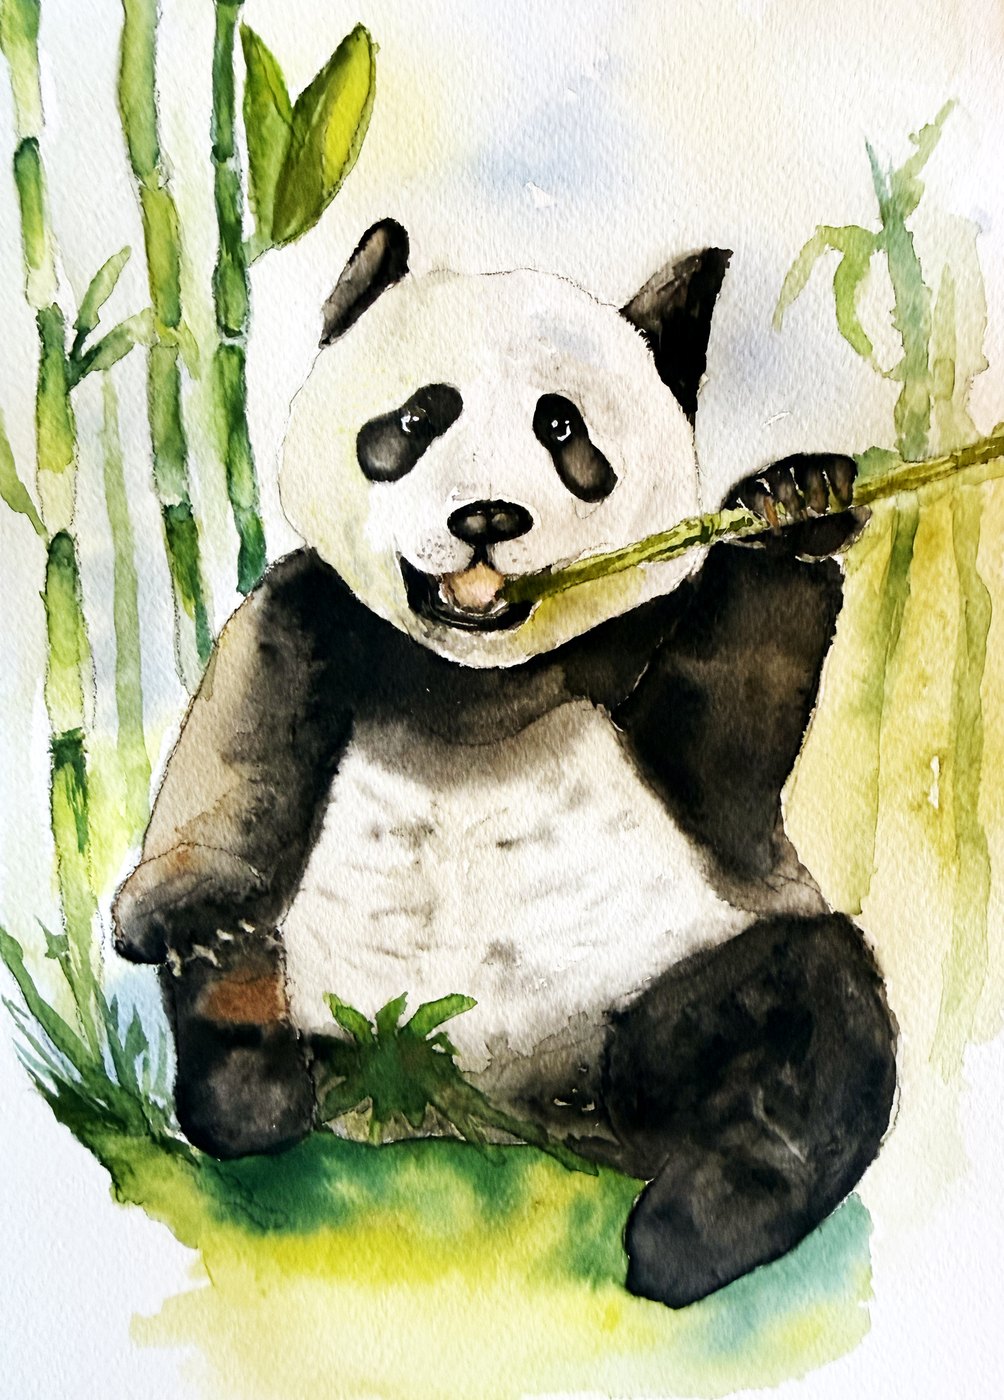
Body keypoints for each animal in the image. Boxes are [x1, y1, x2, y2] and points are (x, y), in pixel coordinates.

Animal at [113, 219, 897, 1309]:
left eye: (561, 428)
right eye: (418, 415)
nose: (486, 516)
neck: (474, 679)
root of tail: (462, 1110)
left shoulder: (636, 656)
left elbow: (733, 716)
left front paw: (794, 502)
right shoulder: (316, 614)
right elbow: (233, 727)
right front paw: (182, 904)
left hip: (652, 989)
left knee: (805, 1006)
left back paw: (696, 1228)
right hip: (333, 1001)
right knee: (242, 1000)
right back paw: (246, 1048)